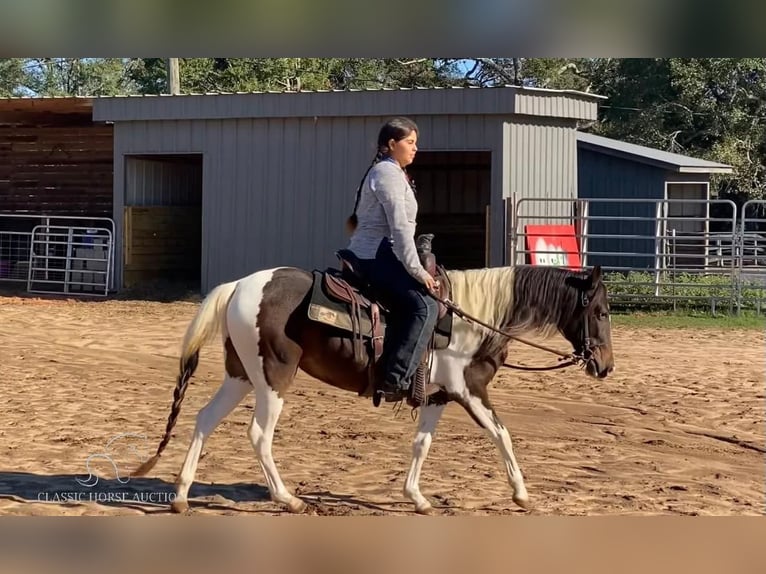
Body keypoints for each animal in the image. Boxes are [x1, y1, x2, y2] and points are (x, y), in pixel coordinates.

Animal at [130, 258, 612, 516]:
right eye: (601, 311)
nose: (605, 366)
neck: (471, 320)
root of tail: (239, 286)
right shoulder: (469, 390)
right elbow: (502, 434)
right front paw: (522, 494)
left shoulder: (438, 396)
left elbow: (422, 444)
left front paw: (416, 497)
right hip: (273, 377)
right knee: (259, 435)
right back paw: (288, 499)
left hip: (241, 374)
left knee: (204, 419)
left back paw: (181, 497)